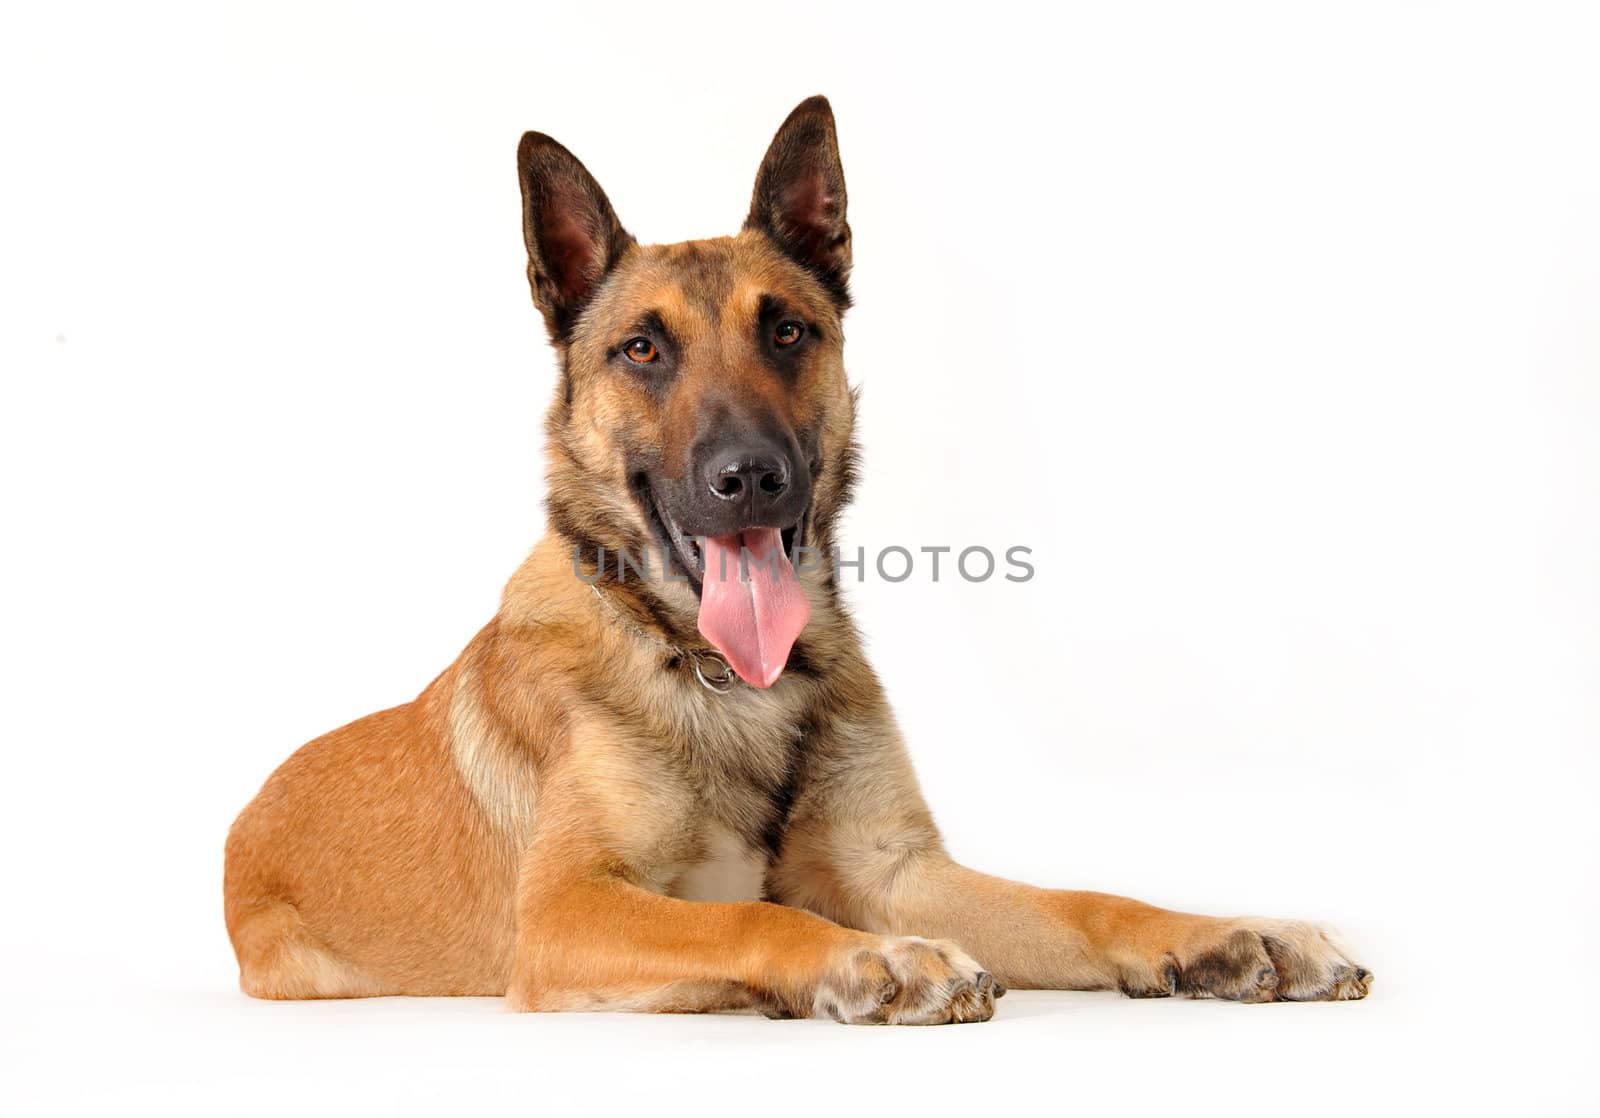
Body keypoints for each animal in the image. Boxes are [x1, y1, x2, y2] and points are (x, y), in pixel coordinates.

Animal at [222, 96, 1376, 1023]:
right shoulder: (563, 911)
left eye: (786, 330)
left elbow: (1084, 902)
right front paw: (868, 961)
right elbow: (748, 919)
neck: (721, 674)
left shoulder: (899, 871)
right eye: (642, 349)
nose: (749, 477)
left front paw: (1225, 934)